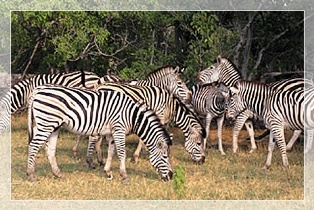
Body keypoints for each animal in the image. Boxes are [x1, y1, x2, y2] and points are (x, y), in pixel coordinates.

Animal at [27, 84, 173, 183]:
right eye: (165, 156)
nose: (171, 176)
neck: (132, 115)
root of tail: (37, 90)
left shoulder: (112, 132)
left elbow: (111, 152)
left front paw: (108, 172)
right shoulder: (119, 129)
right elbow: (121, 153)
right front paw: (125, 176)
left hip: (53, 126)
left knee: (50, 149)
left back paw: (58, 174)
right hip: (47, 123)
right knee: (33, 146)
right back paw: (31, 175)